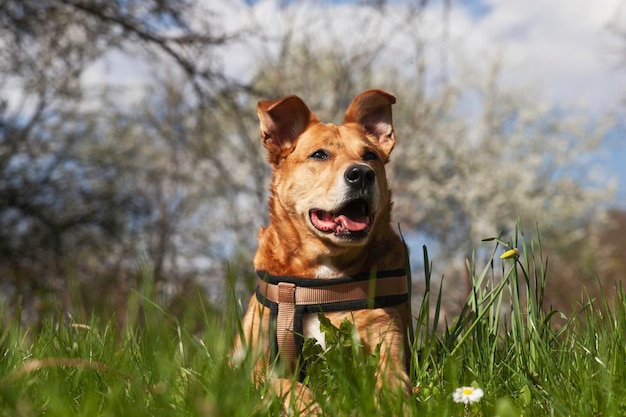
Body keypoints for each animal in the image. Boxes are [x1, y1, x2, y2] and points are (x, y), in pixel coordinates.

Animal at [233, 88, 410, 412]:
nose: (362, 174)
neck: (322, 279)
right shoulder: (243, 371)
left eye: (370, 156)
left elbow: (391, 385)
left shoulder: (386, 343)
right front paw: (309, 406)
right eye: (320, 154)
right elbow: (282, 383)